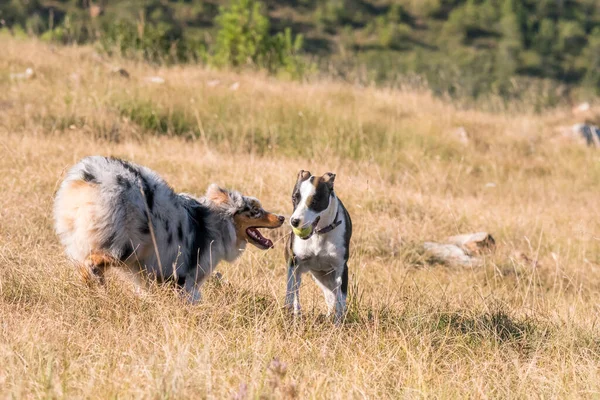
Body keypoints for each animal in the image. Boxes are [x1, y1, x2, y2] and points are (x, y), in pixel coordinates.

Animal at [53, 155, 284, 302]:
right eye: (256, 210)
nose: (282, 217)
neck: (218, 221)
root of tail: (93, 176)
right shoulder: (185, 277)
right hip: (125, 246)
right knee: (92, 263)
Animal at [284, 170, 352, 324]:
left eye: (314, 201)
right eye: (294, 198)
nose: (294, 221)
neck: (319, 234)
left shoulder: (341, 268)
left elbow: (340, 301)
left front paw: (338, 324)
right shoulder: (293, 262)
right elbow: (291, 292)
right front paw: (290, 314)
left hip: (326, 277)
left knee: (332, 297)